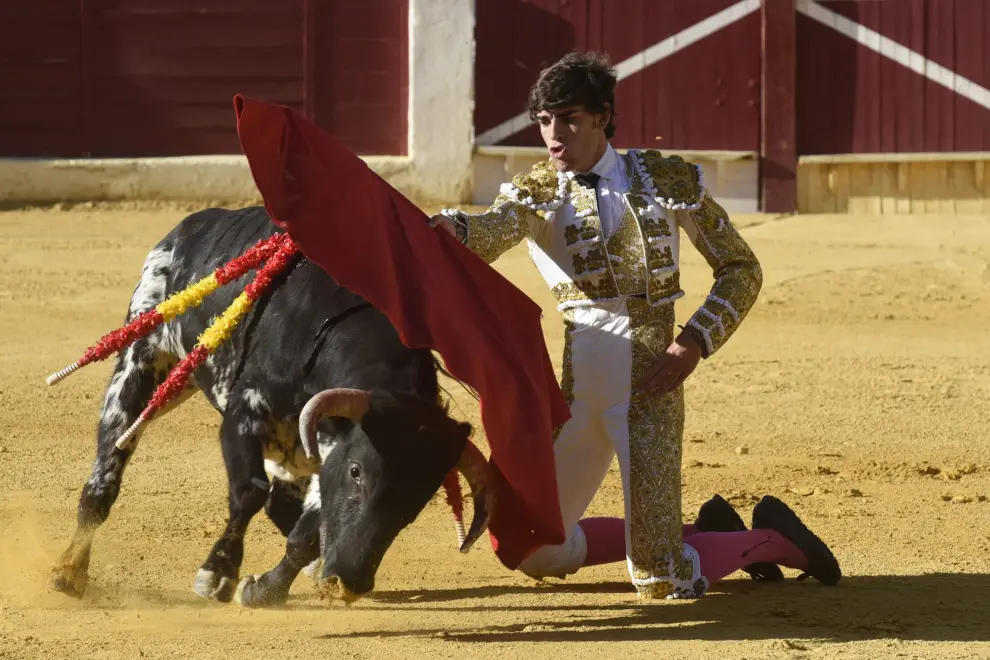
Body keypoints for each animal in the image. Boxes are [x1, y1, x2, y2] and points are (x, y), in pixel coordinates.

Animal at [48, 205, 496, 604]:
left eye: (421, 497)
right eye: (357, 471)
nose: (351, 582)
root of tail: (187, 229)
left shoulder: (320, 448)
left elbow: (304, 533)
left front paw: (264, 589)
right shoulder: (245, 413)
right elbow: (250, 490)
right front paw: (218, 574)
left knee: (284, 507)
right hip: (142, 360)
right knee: (106, 472)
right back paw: (69, 571)